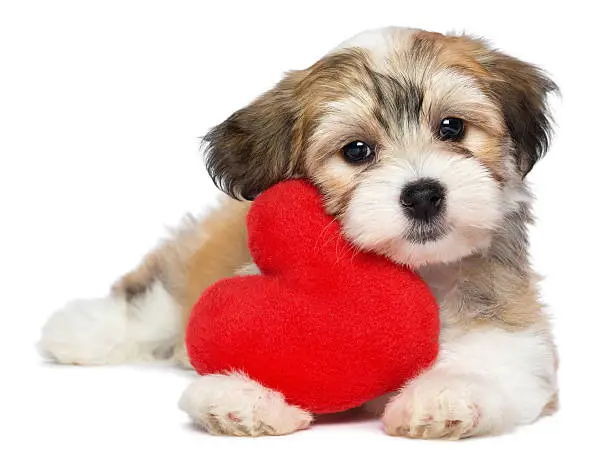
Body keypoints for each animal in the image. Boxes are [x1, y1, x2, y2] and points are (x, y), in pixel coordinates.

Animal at [39, 26, 560, 438]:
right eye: (357, 151)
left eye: (452, 127)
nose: (423, 194)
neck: (419, 272)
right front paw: (239, 395)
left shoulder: (520, 336)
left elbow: (503, 361)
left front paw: (446, 393)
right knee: (153, 301)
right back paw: (78, 330)